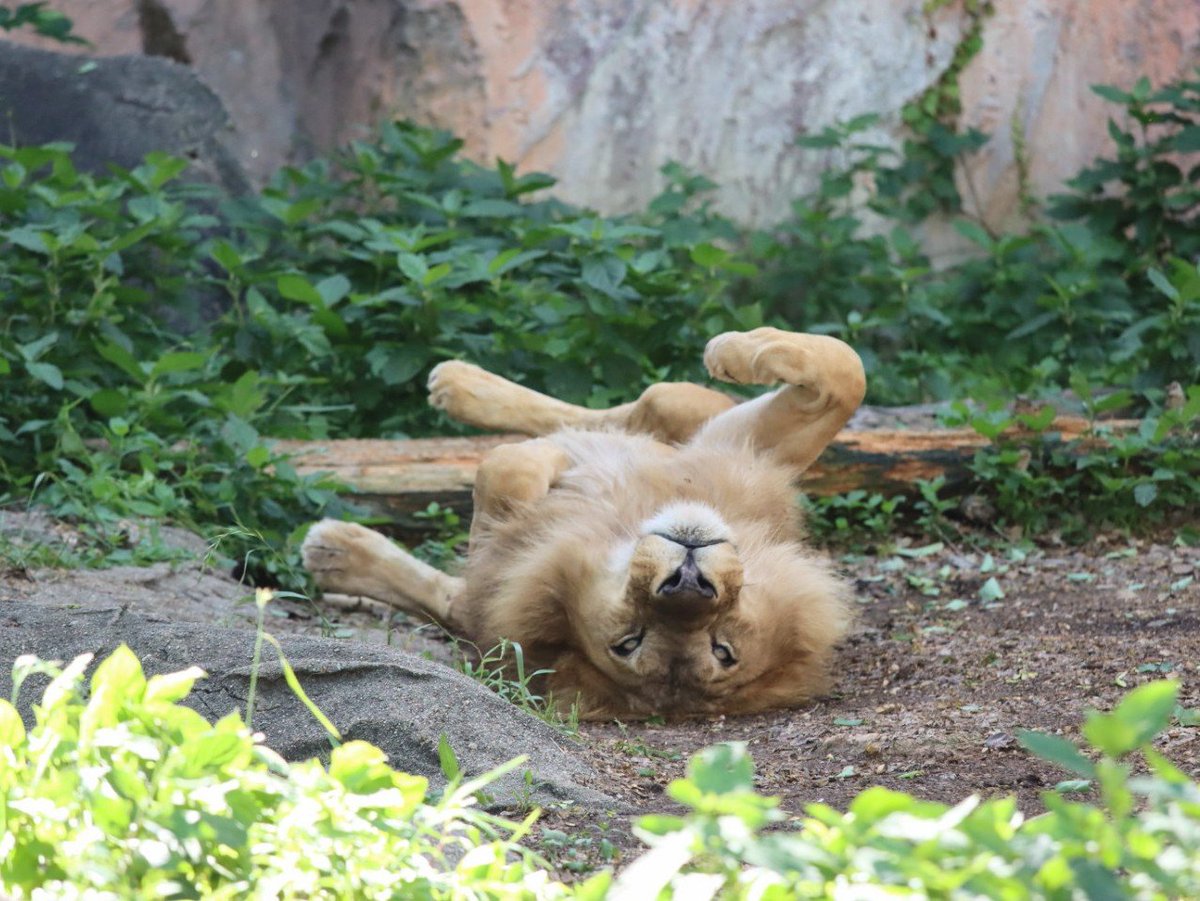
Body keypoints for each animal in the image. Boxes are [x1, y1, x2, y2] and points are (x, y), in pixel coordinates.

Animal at [298, 328, 864, 719]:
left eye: (721, 649)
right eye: (629, 642)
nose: (688, 582)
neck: (624, 523)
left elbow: (501, 474)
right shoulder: (747, 449)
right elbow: (844, 373)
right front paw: (736, 351)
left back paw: (332, 551)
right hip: (691, 413)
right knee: (646, 405)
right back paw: (461, 385)